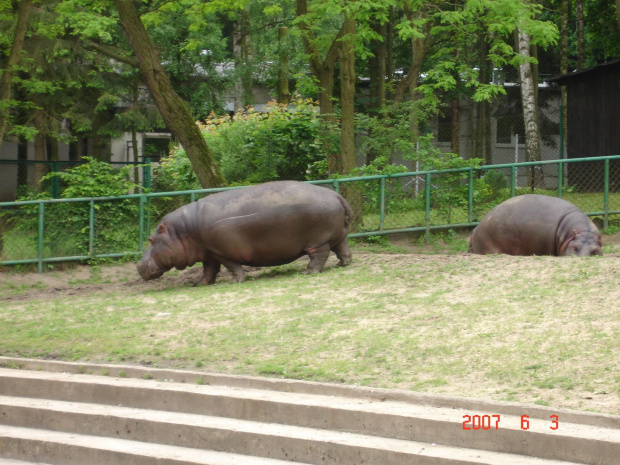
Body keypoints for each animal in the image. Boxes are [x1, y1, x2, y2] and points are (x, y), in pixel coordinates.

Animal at [139, 180, 354, 282]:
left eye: (150, 239)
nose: (139, 265)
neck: (182, 230)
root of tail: (336, 195)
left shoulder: (222, 252)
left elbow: (232, 267)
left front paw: (236, 281)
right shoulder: (209, 254)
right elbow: (208, 271)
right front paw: (199, 283)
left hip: (318, 241)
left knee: (319, 256)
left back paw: (308, 272)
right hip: (339, 236)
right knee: (343, 249)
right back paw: (343, 265)